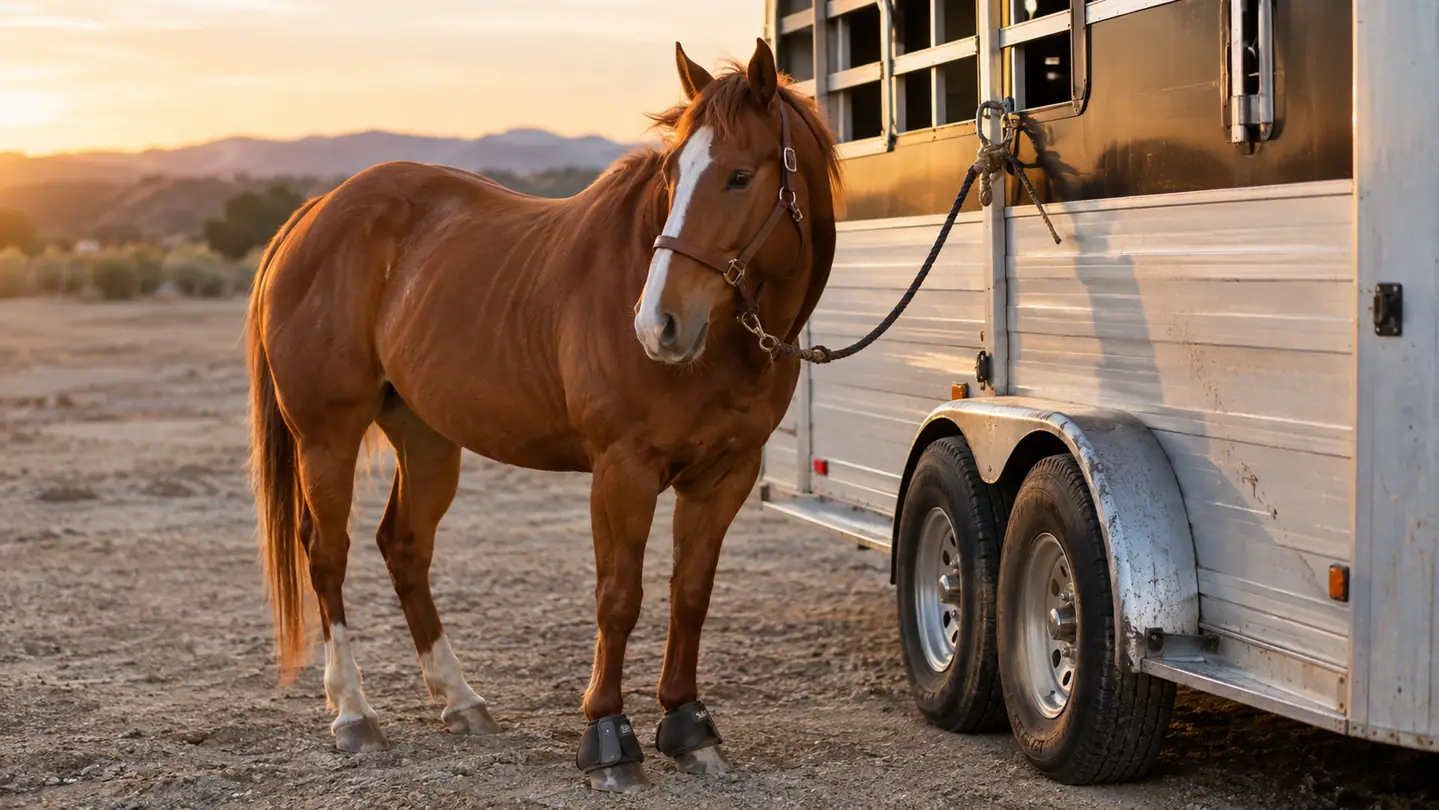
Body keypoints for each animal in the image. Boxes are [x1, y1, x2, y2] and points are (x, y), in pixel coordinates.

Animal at [245, 38, 841, 792]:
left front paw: (688, 728)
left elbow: (690, 595)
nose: (658, 324)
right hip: (327, 438)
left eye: (738, 176)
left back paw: (461, 701)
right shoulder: (621, 471)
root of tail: (316, 211)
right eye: (672, 173)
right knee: (328, 553)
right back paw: (353, 713)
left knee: (403, 546)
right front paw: (609, 740)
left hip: (427, 439)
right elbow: (618, 597)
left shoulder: (723, 475)